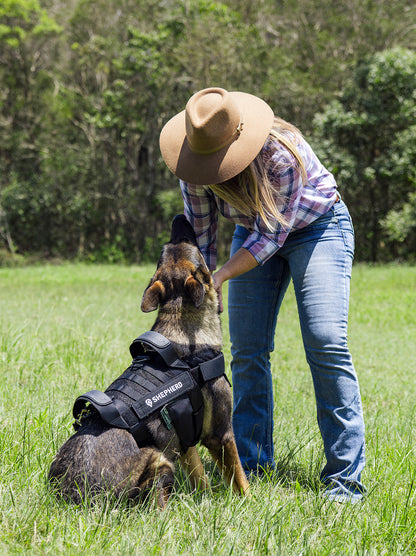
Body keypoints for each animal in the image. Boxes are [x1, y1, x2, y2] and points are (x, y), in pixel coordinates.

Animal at [48, 215, 250, 510]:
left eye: (167, 248)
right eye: (191, 245)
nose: (179, 217)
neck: (179, 317)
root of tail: (80, 498)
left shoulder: (185, 440)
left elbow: (200, 477)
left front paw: (205, 502)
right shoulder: (221, 435)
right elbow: (240, 478)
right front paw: (252, 501)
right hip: (159, 461)